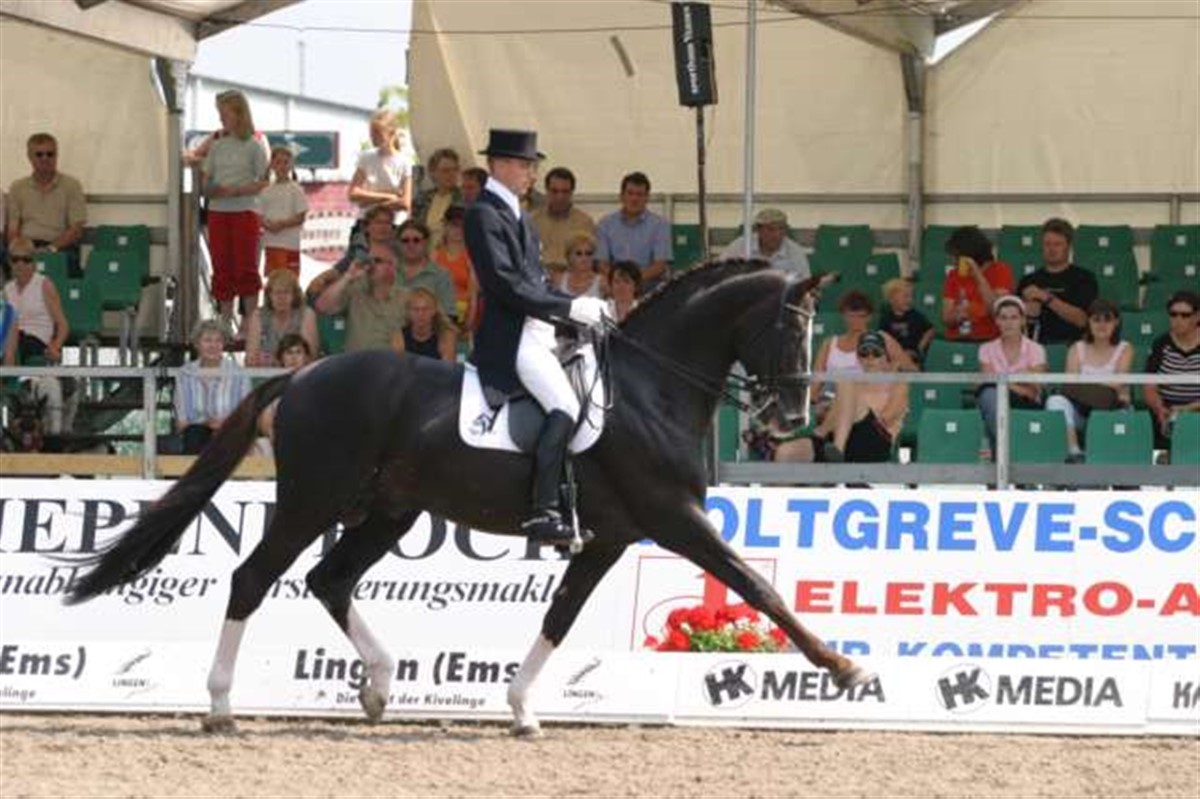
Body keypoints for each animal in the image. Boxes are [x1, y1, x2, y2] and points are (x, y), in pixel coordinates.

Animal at [64, 259, 872, 735]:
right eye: (790, 331)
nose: (790, 420)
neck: (650, 388)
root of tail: (301, 375)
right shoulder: (674, 518)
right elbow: (757, 585)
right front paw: (844, 668)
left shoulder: (609, 536)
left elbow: (561, 614)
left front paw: (522, 708)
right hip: (311, 501)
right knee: (253, 578)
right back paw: (222, 703)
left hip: (391, 510)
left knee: (329, 579)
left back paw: (379, 688)